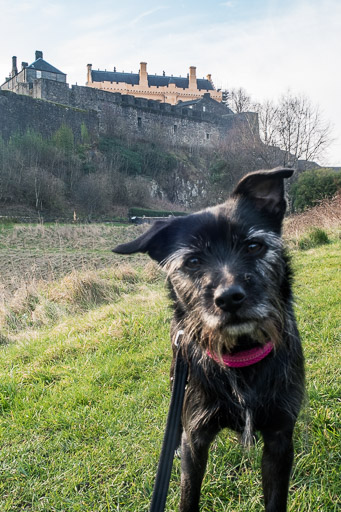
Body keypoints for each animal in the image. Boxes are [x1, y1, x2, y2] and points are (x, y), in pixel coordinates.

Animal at [113, 168, 304, 512]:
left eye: (253, 246)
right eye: (192, 261)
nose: (229, 298)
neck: (240, 354)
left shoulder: (279, 438)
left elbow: (275, 498)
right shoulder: (197, 439)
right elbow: (188, 495)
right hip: (176, 373)